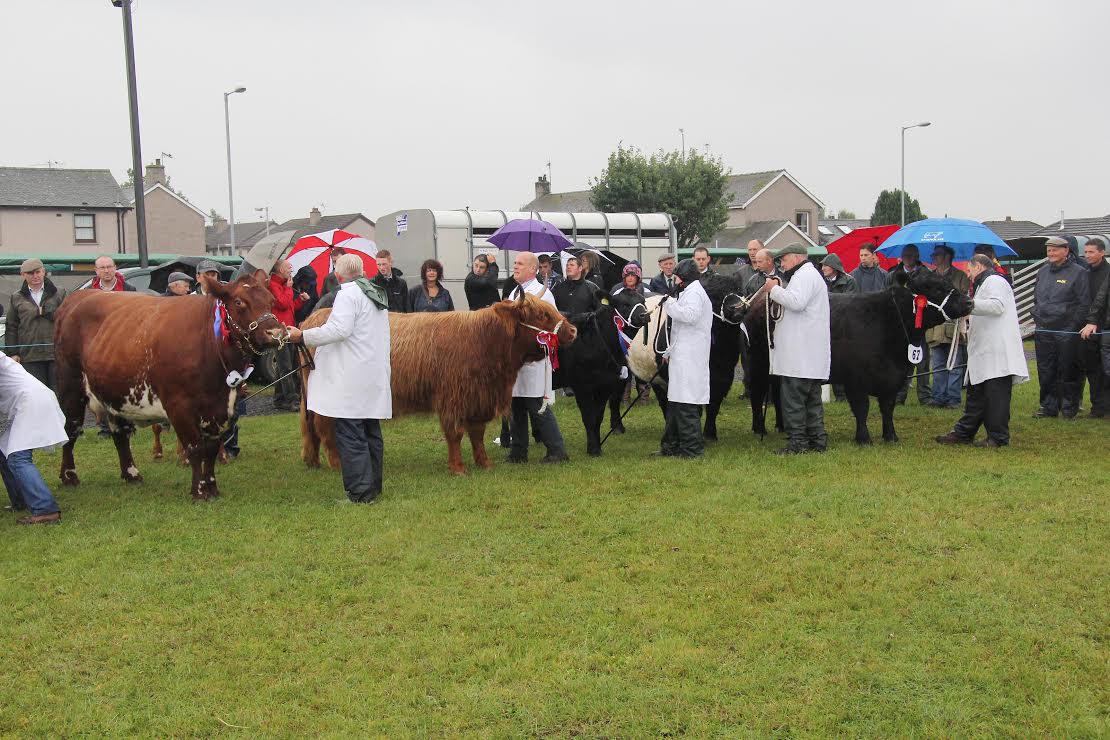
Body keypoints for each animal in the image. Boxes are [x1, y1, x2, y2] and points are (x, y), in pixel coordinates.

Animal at [304, 290, 577, 474]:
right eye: (541, 314)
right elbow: (455, 434)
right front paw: (458, 468)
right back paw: (337, 464)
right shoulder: (452, 398)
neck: (485, 341)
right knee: (325, 428)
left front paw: (484, 463)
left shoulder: (478, 399)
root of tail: (313, 318)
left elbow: (477, 434)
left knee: (310, 427)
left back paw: (313, 461)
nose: (573, 330)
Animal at [732, 271, 976, 445]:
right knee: (757, 394)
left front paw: (891, 436)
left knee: (778, 393)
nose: (969, 302)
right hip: (757, 365)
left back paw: (782, 427)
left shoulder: (894, 378)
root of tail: (753, 303)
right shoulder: (855, 380)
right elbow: (862, 408)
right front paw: (864, 438)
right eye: (933, 287)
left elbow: (888, 408)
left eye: (948, 281)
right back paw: (759, 428)